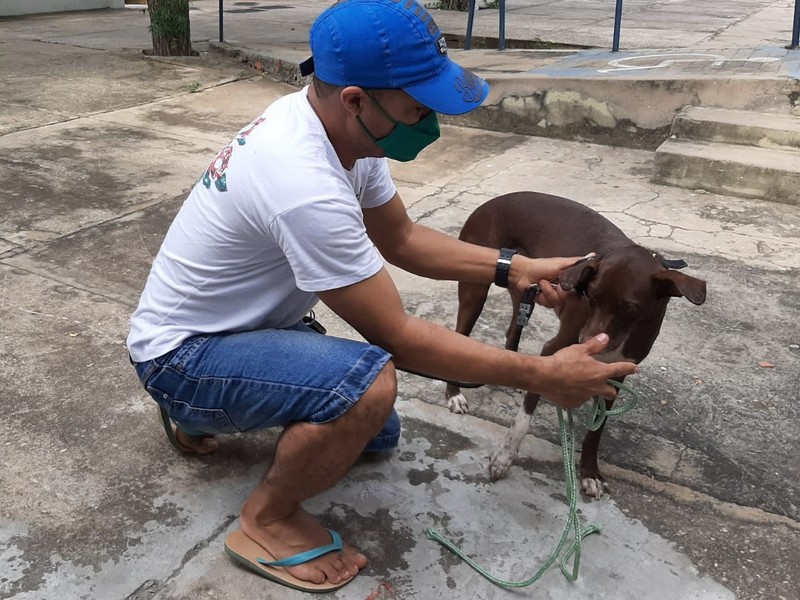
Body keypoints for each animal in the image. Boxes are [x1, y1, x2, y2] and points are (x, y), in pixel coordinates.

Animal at [446, 191, 708, 496]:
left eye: (629, 308)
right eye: (591, 296)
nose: (585, 341)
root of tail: (491, 202)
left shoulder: (617, 372)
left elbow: (596, 431)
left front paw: (589, 473)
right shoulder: (554, 350)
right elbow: (523, 420)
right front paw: (504, 458)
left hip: (523, 290)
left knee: (513, 329)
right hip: (474, 290)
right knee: (461, 333)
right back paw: (453, 394)